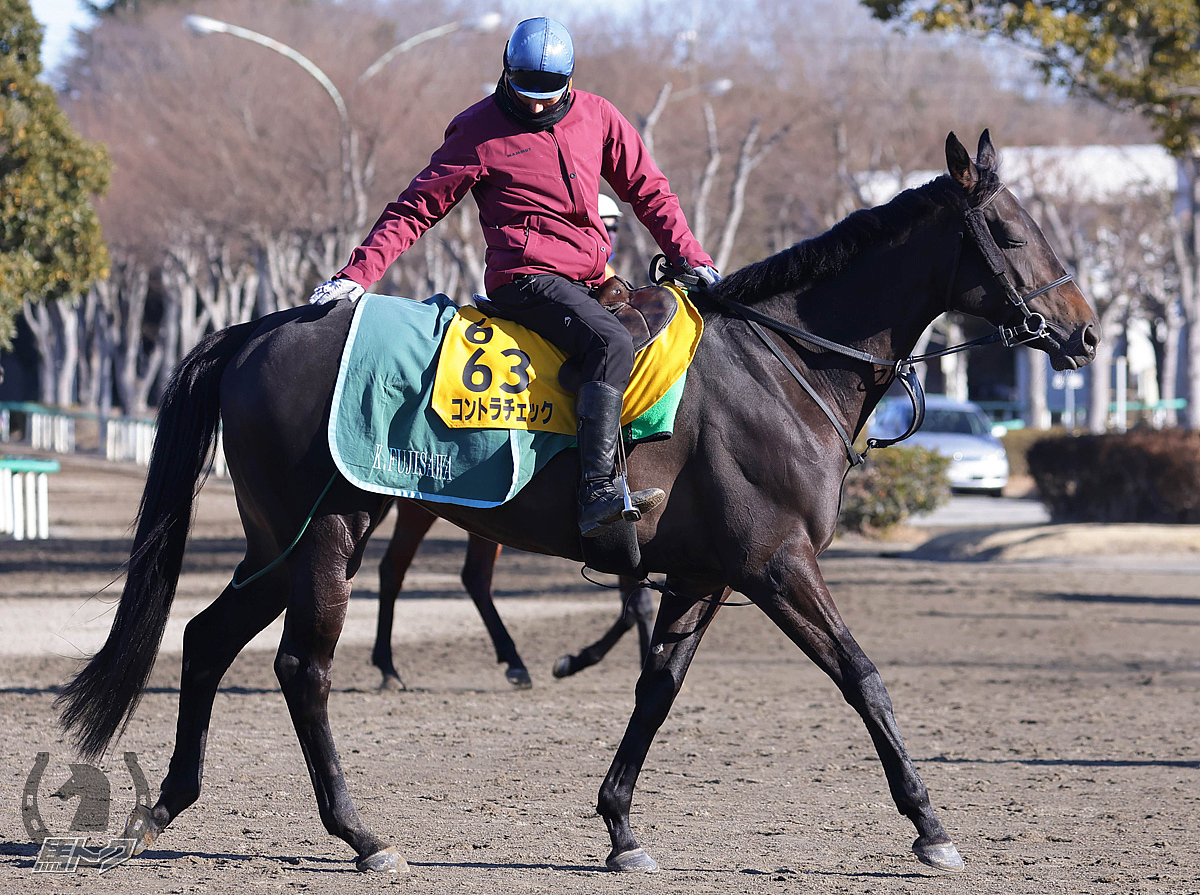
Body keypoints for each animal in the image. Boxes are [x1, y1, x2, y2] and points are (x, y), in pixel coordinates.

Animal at [376, 506, 657, 686]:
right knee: (391, 570)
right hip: (418, 510)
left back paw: (514, 662)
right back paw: (388, 669)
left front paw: (575, 661)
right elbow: (639, 606)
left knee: (475, 577)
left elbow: (632, 610)